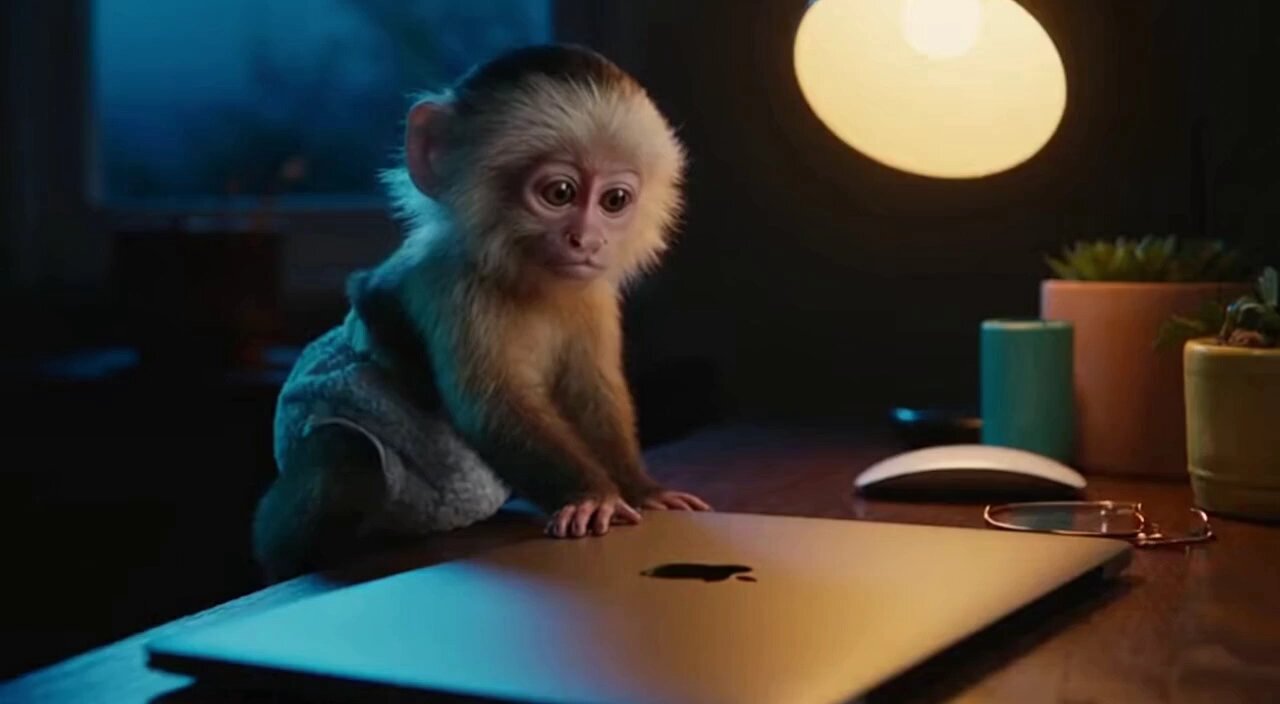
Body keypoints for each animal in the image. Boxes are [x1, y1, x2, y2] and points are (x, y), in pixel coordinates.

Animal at [251, 44, 711, 582]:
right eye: (560, 193)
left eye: (614, 200)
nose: (587, 240)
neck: (528, 282)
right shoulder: (452, 284)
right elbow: (489, 404)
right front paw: (590, 496)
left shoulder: (592, 292)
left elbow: (592, 392)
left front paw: (642, 490)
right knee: (345, 456)